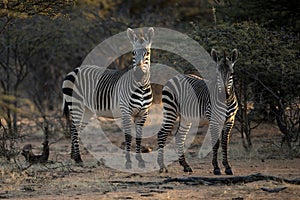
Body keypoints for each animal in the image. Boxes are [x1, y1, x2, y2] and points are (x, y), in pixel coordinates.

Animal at [61, 27, 155, 169]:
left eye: (147, 53)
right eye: (133, 53)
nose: (139, 74)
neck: (141, 87)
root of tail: (74, 69)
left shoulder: (143, 114)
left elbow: (139, 137)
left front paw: (140, 160)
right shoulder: (126, 112)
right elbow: (128, 137)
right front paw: (128, 162)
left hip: (87, 109)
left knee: (77, 130)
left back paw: (73, 156)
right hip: (76, 104)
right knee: (74, 128)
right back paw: (78, 159)